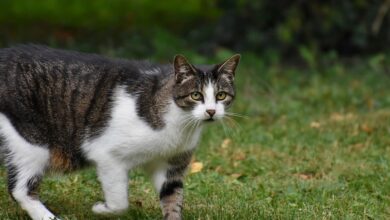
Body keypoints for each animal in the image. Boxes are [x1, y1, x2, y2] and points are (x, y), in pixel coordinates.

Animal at [0, 45, 241, 220]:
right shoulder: (107, 155)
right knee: (19, 189)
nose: (211, 111)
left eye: (220, 96)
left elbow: (173, 200)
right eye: (196, 95)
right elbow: (119, 202)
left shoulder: (171, 166)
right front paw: (100, 209)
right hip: (31, 142)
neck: (180, 124)